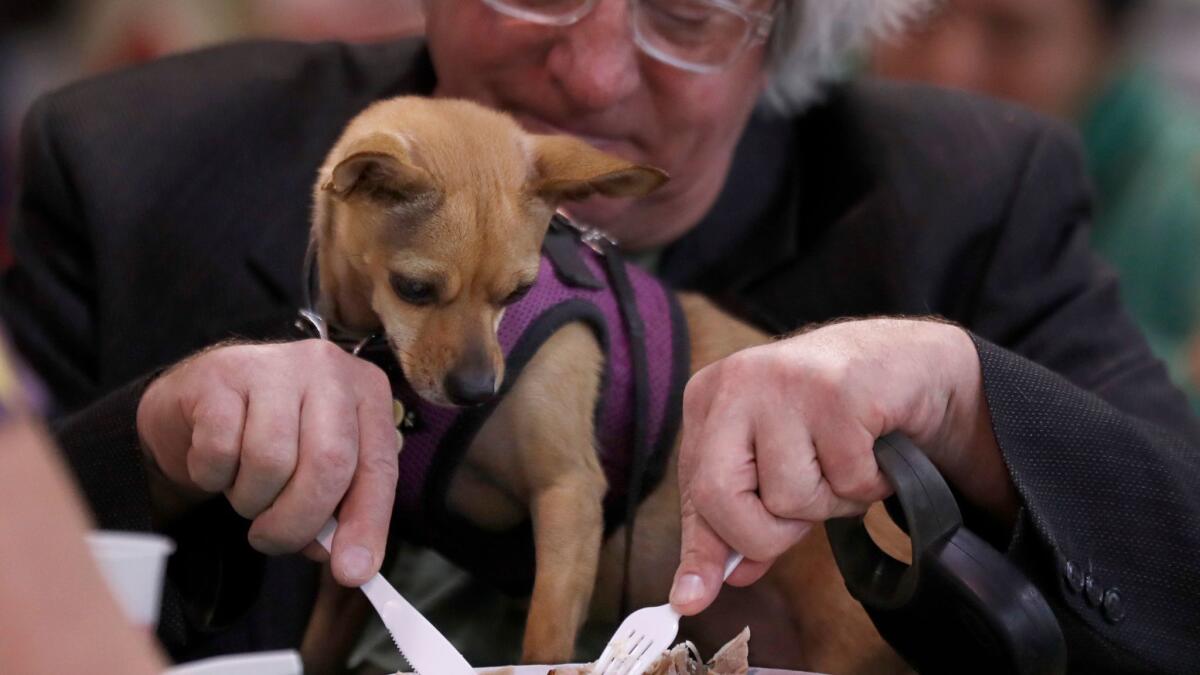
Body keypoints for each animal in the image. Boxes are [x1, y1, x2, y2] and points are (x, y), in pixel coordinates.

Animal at [302, 97, 907, 667]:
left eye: (519, 293)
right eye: (413, 289)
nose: (477, 390)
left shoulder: (569, 494)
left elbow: (545, 640)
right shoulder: (367, 544)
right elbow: (323, 640)